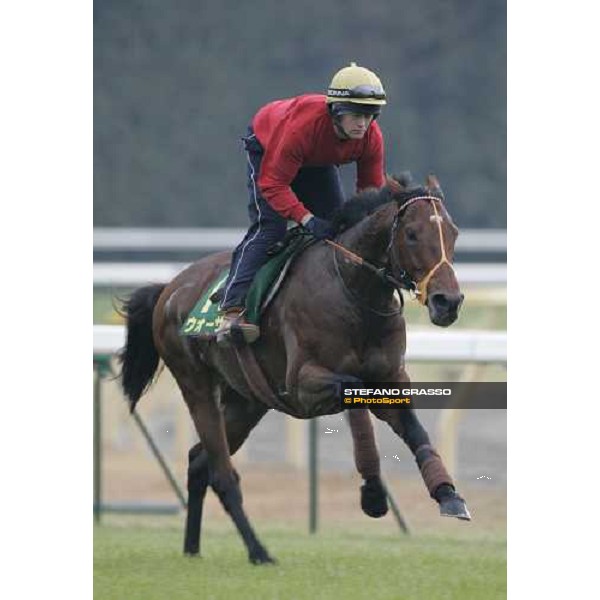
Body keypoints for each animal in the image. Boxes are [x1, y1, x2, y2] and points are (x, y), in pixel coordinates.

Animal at [119, 172, 472, 564]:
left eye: (453, 232)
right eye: (411, 233)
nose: (448, 302)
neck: (354, 292)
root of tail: (170, 287)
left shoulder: (391, 378)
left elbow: (415, 429)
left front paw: (449, 495)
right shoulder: (303, 384)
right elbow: (352, 393)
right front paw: (373, 494)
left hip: (246, 401)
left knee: (199, 462)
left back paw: (193, 549)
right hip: (196, 385)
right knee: (222, 473)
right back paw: (258, 551)